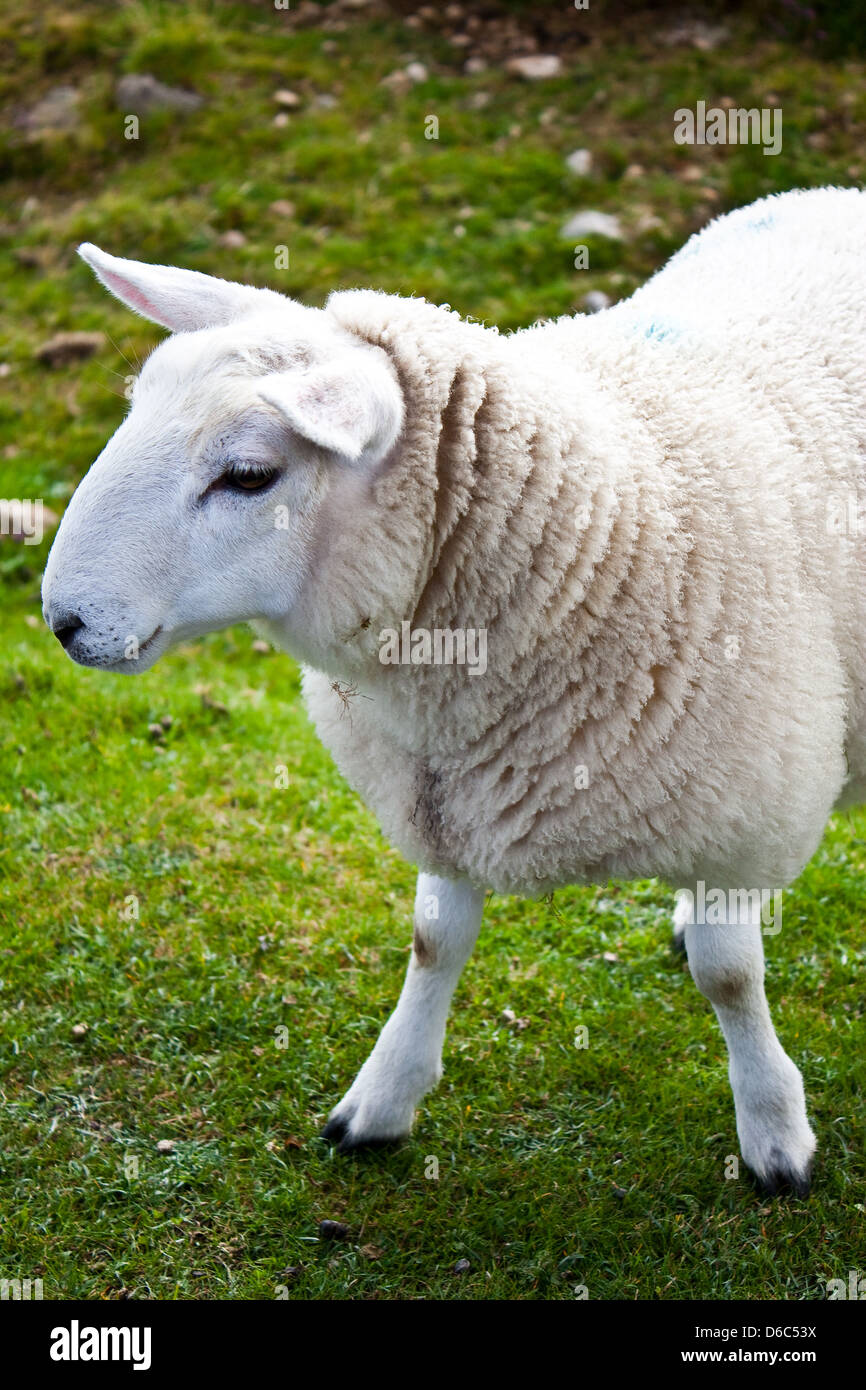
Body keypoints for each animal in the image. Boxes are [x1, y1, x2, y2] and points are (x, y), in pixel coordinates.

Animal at [42, 186, 866, 1196]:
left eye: (249, 475)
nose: (65, 620)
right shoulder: (446, 790)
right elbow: (434, 940)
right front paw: (381, 1100)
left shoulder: (742, 807)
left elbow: (731, 979)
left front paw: (775, 1136)